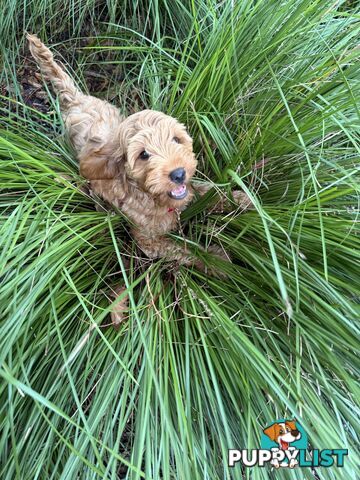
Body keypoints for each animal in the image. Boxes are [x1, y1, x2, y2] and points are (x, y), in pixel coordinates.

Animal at [26, 35, 252, 324]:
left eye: (176, 139)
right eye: (144, 154)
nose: (178, 173)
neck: (153, 197)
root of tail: (75, 99)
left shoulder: (190, 191)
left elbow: (210, 191)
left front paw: (242, 199)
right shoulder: (149, 242)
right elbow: (183, 250)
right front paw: (217, 261)